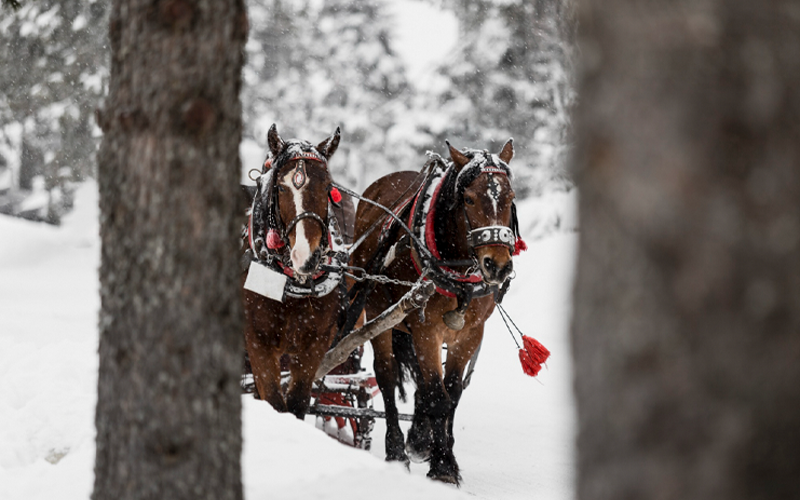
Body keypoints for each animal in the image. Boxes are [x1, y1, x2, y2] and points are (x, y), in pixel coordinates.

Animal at [242, 123, 352, 419]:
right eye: (281, 187)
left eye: (327, 186)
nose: (306, 256)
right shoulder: (258, 343)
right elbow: (275, 403)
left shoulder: (314, 345)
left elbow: (297, 403)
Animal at [349, 140, 520, 484]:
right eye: (468, 198)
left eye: (509, 197)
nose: (497, 265)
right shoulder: (426, 329)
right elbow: (437, 397)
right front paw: (442, 467)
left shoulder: (469, 333)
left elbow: (450, 394)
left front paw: (441, 453)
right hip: (379, 314)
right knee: (386, 375)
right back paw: (396, 449)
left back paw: (418, 437)